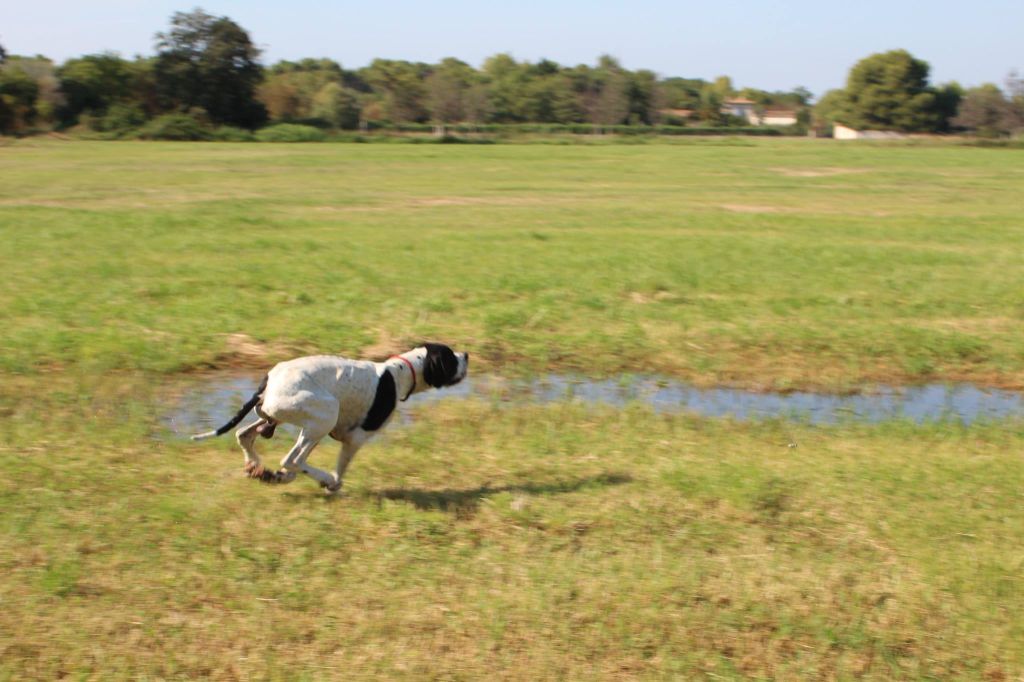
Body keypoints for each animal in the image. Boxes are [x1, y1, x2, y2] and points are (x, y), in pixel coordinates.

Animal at [192, 342, 468, 491]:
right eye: (450, 357)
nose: (466, 355)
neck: (399, 373)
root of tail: (268, 381)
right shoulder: (355, 439)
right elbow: (338, 472)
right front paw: (331, 483)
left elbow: (292, 468)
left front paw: (277, 477)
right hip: (326, 413)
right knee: (291, 459)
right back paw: (321, 478)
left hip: (290, 421)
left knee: (246, 435)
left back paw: (256, 467)